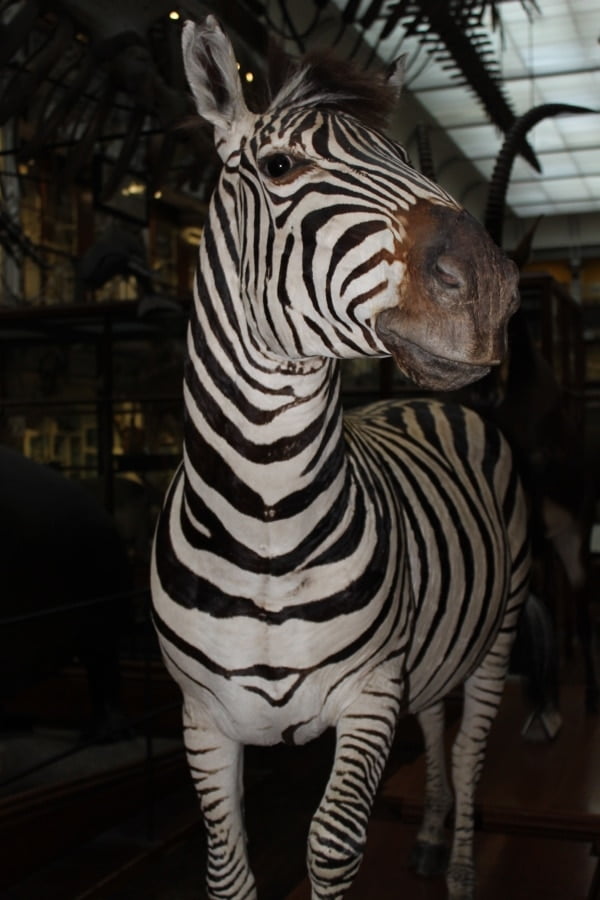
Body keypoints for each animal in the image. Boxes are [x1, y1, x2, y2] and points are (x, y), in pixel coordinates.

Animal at [151, 15, 528, 900]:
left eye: (410, 161)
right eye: (281, 167)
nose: (495, 292)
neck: (264, 519)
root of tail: (425, 401)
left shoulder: (369, 693)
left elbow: (332, 842)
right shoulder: (202, 716)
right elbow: (225, 866)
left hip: (498, 629)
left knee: (469, 743)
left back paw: (461, 864)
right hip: (433, 653)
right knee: (437, 718)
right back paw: (426, 836)